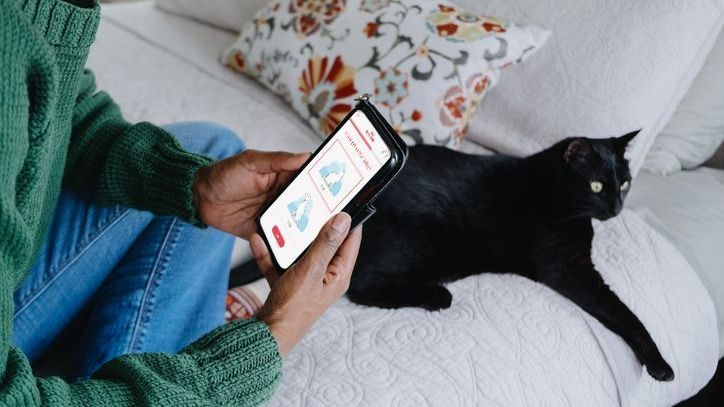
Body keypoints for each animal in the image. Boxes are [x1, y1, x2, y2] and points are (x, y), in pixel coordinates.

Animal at [348, 131, 676, 382]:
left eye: (625, 184)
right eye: (596, 186)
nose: (617, 208)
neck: (553, 192)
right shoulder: (570, 269)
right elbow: (623, 312)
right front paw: (660, 364)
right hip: (428, 234)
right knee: (360, 285)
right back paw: (438, 295)